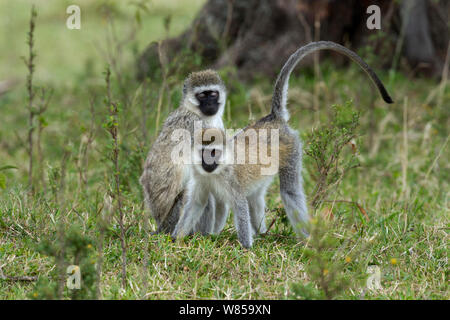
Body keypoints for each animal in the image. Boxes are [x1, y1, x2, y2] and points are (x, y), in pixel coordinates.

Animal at [139, 70, 229, 234]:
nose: (210, 104)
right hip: (174, 219)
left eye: (213, 94)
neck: (194, 111)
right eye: (202, 95)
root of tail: (161, 225)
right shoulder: (197, 126)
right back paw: (202, 235)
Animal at [172, 41, 394, 249]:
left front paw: (246, 248)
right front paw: (175, 239)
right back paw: (264, 233)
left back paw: (307, 240)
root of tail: (274, 118)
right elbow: (196, 204)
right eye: (203, 154)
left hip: (291, 148)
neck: (215, 172)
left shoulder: (231, 180)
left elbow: (240, 206)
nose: (208, 163)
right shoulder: (200, 178)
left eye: (213, 153)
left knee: (290, 193)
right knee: (256, 197)